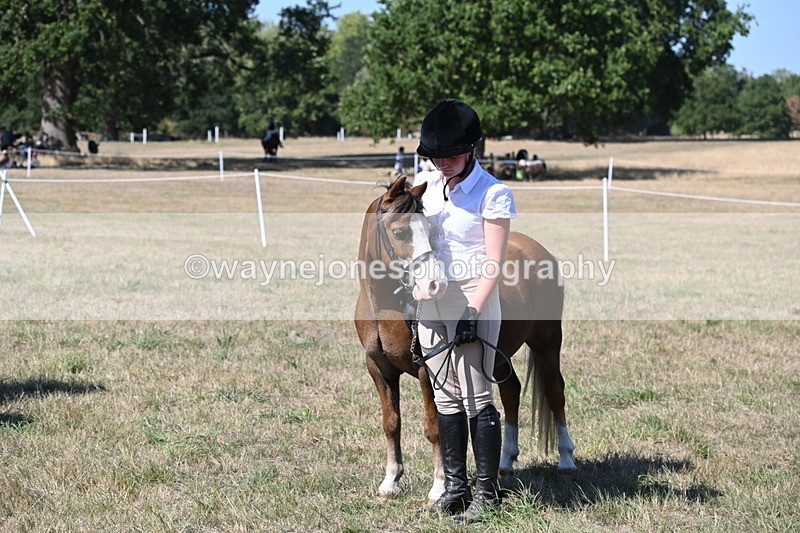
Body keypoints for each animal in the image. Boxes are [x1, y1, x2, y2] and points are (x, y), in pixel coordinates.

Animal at [354, 176, 576, 504]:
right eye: (399, 231)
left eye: (431, 230)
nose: (433, 285)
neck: (386, 309)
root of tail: (536, 250)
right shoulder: (379, 370)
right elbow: (391, 423)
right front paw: (391, 481)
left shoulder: (428, 370)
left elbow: (434, 426)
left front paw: (438, 488)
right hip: (496, 356)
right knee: (511, 391)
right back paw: (505, 462)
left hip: (547, 342)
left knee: (554, 392)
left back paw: (566, 459)